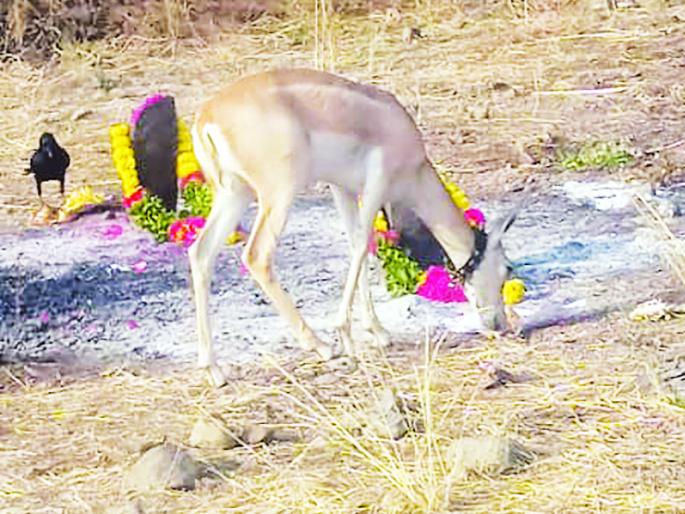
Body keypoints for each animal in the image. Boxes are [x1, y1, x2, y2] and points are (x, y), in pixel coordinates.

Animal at [189, 68, 517, 387]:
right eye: (505, 270)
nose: (500, 325)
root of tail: (208, 115)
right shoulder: (376, 186)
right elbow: (362, 246)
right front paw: (346, 333)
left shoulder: (342, 189)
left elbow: (356, 245)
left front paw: (378, 332)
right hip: (278, 194)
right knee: (257, 256)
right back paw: (321, 346)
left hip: (234, 195)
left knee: (200, 253)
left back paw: (213, 370)